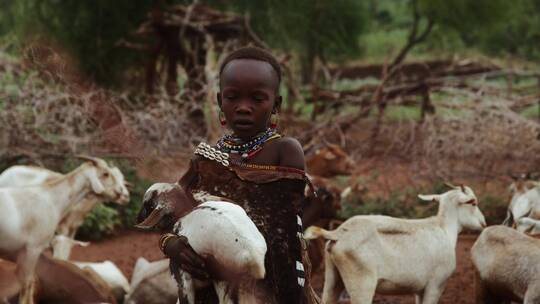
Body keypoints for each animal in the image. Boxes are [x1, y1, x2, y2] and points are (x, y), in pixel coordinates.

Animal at [306, 184, 488, 302]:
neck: (442, 228)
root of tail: (338, 233)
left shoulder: (420, 290)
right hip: (362, 285)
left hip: (332, 281)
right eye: (473, 202)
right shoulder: (436, 285)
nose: (483, 223)